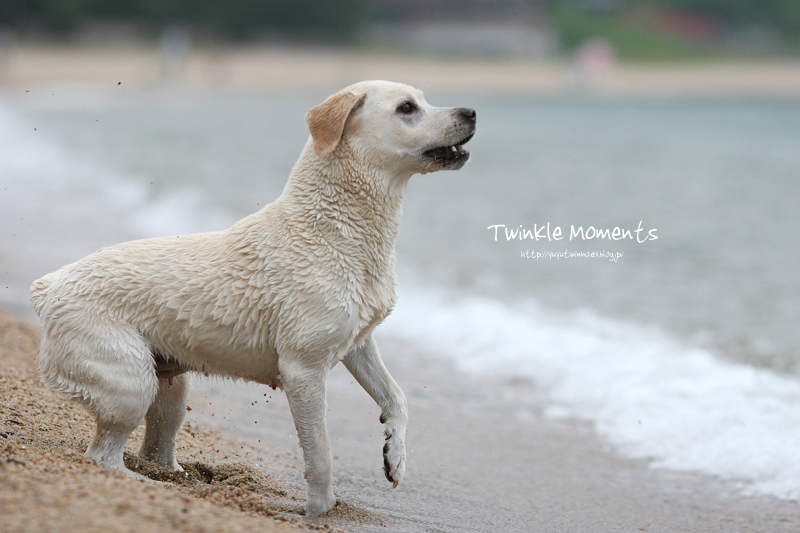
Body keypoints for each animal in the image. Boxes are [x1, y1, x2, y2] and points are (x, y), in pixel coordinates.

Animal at [31, 80, 476, 516]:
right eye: (406, 108)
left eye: (423, 100)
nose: (471, 111)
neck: (334, 231)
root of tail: (50, 286)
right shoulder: (303, 371)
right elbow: (321, 454)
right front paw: (319, 510)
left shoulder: (358, 344)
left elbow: (396, 397)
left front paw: (394, 456)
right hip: (128, 384)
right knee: (104, 458)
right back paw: (160, 488)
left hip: (168, 389)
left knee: (154, 446)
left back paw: (179, 478)